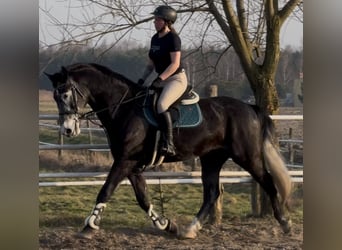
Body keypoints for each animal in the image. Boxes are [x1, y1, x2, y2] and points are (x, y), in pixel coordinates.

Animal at [44, 63, 292, 240]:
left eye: (65, 94)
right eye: (55, 96)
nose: (67, 129)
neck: (124, 107)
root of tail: (250, 107)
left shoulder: (124, 161)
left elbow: (105, 190)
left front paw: (89, 225)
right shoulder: (131, 165)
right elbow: (143, 198)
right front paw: (166, 224)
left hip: (247, 156)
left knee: (268, 182)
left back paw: (284, 222)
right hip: (212, 158)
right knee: (212, 193)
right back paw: (189, 230)